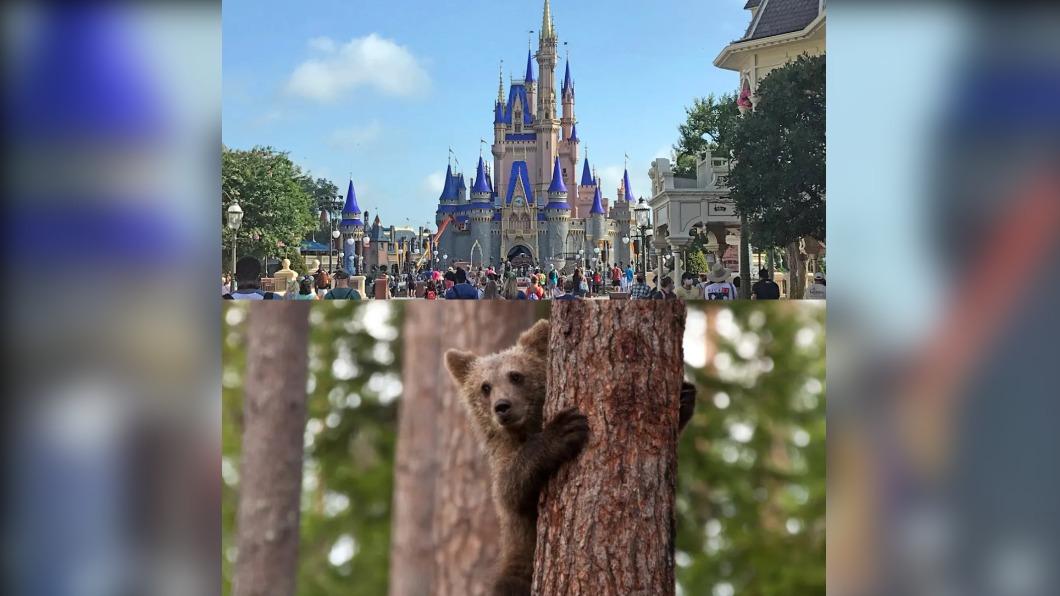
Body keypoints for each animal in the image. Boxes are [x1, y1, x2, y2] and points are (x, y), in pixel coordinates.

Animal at [444, 319, 696, 596]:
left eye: (516, 376)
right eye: (485, 387)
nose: (502, 407)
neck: (525, 429)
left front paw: (685, 396)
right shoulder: (505, 465)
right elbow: (510, 489)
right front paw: (563, 430)